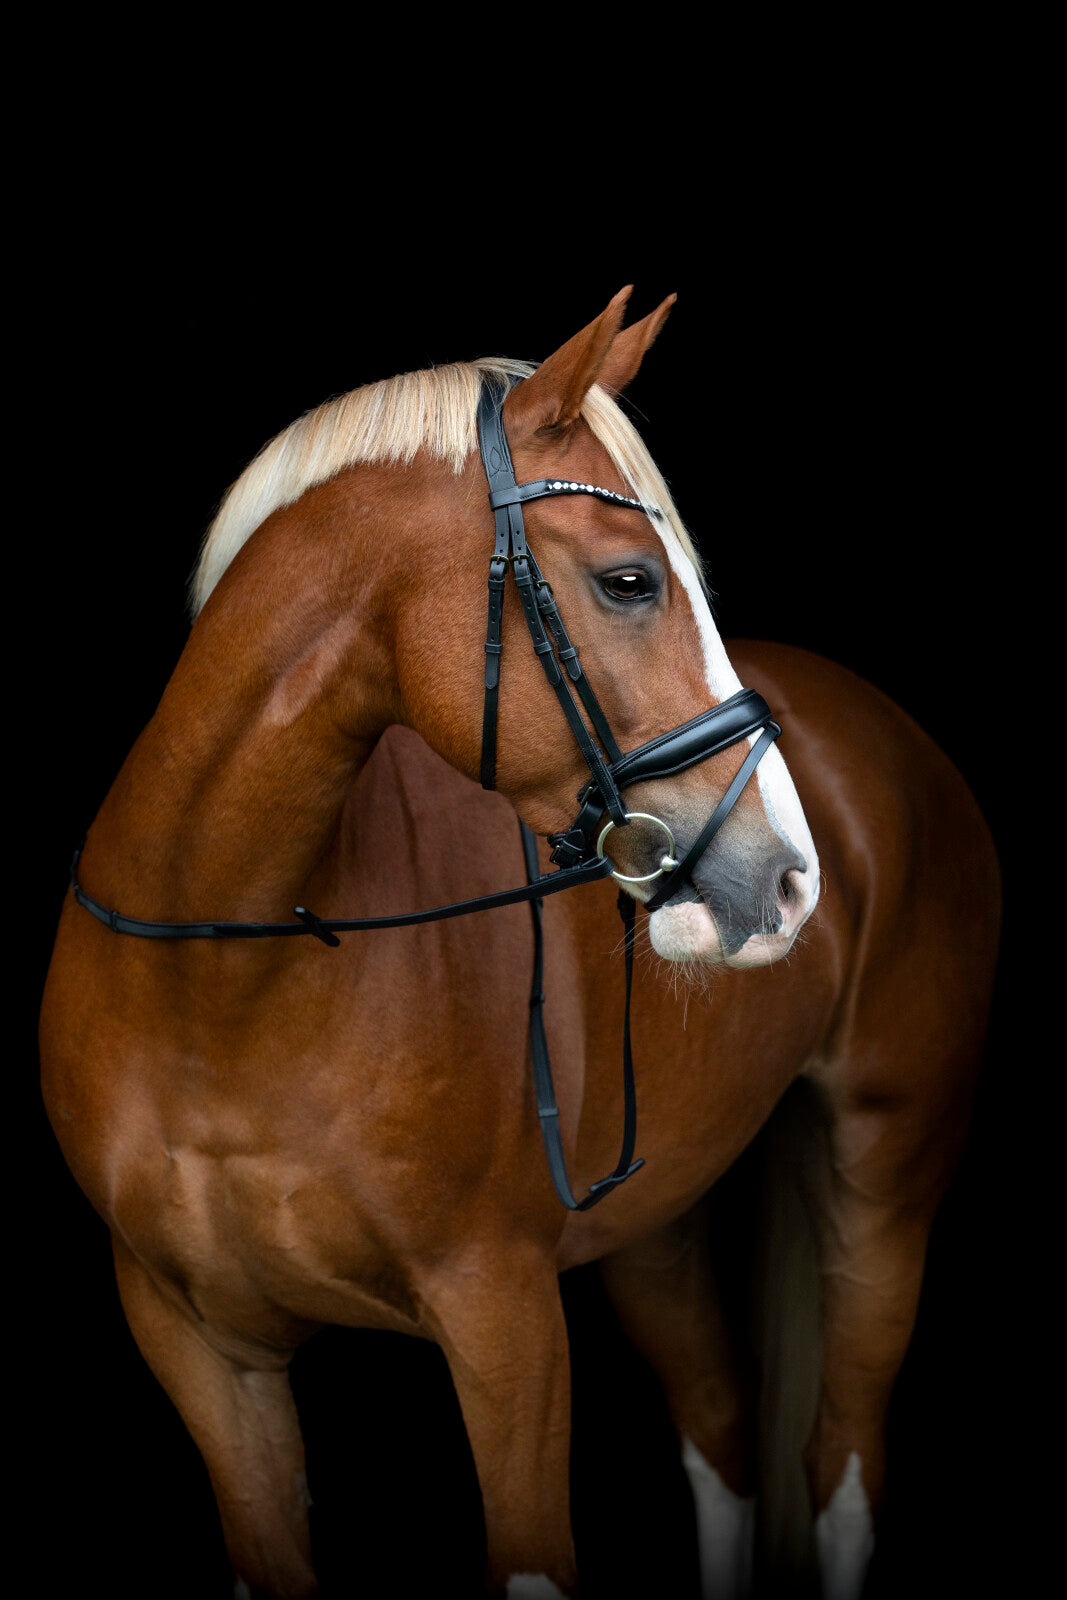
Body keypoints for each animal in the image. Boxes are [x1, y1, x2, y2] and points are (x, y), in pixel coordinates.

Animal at [39, 288, 1000, 1599]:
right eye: (630, 580)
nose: (788, 880)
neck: (220, 978)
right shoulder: (199, 1347)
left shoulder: (504, 1322)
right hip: (656, 1219)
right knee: (722, 1441)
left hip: (886, 1176)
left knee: (840, 1472)